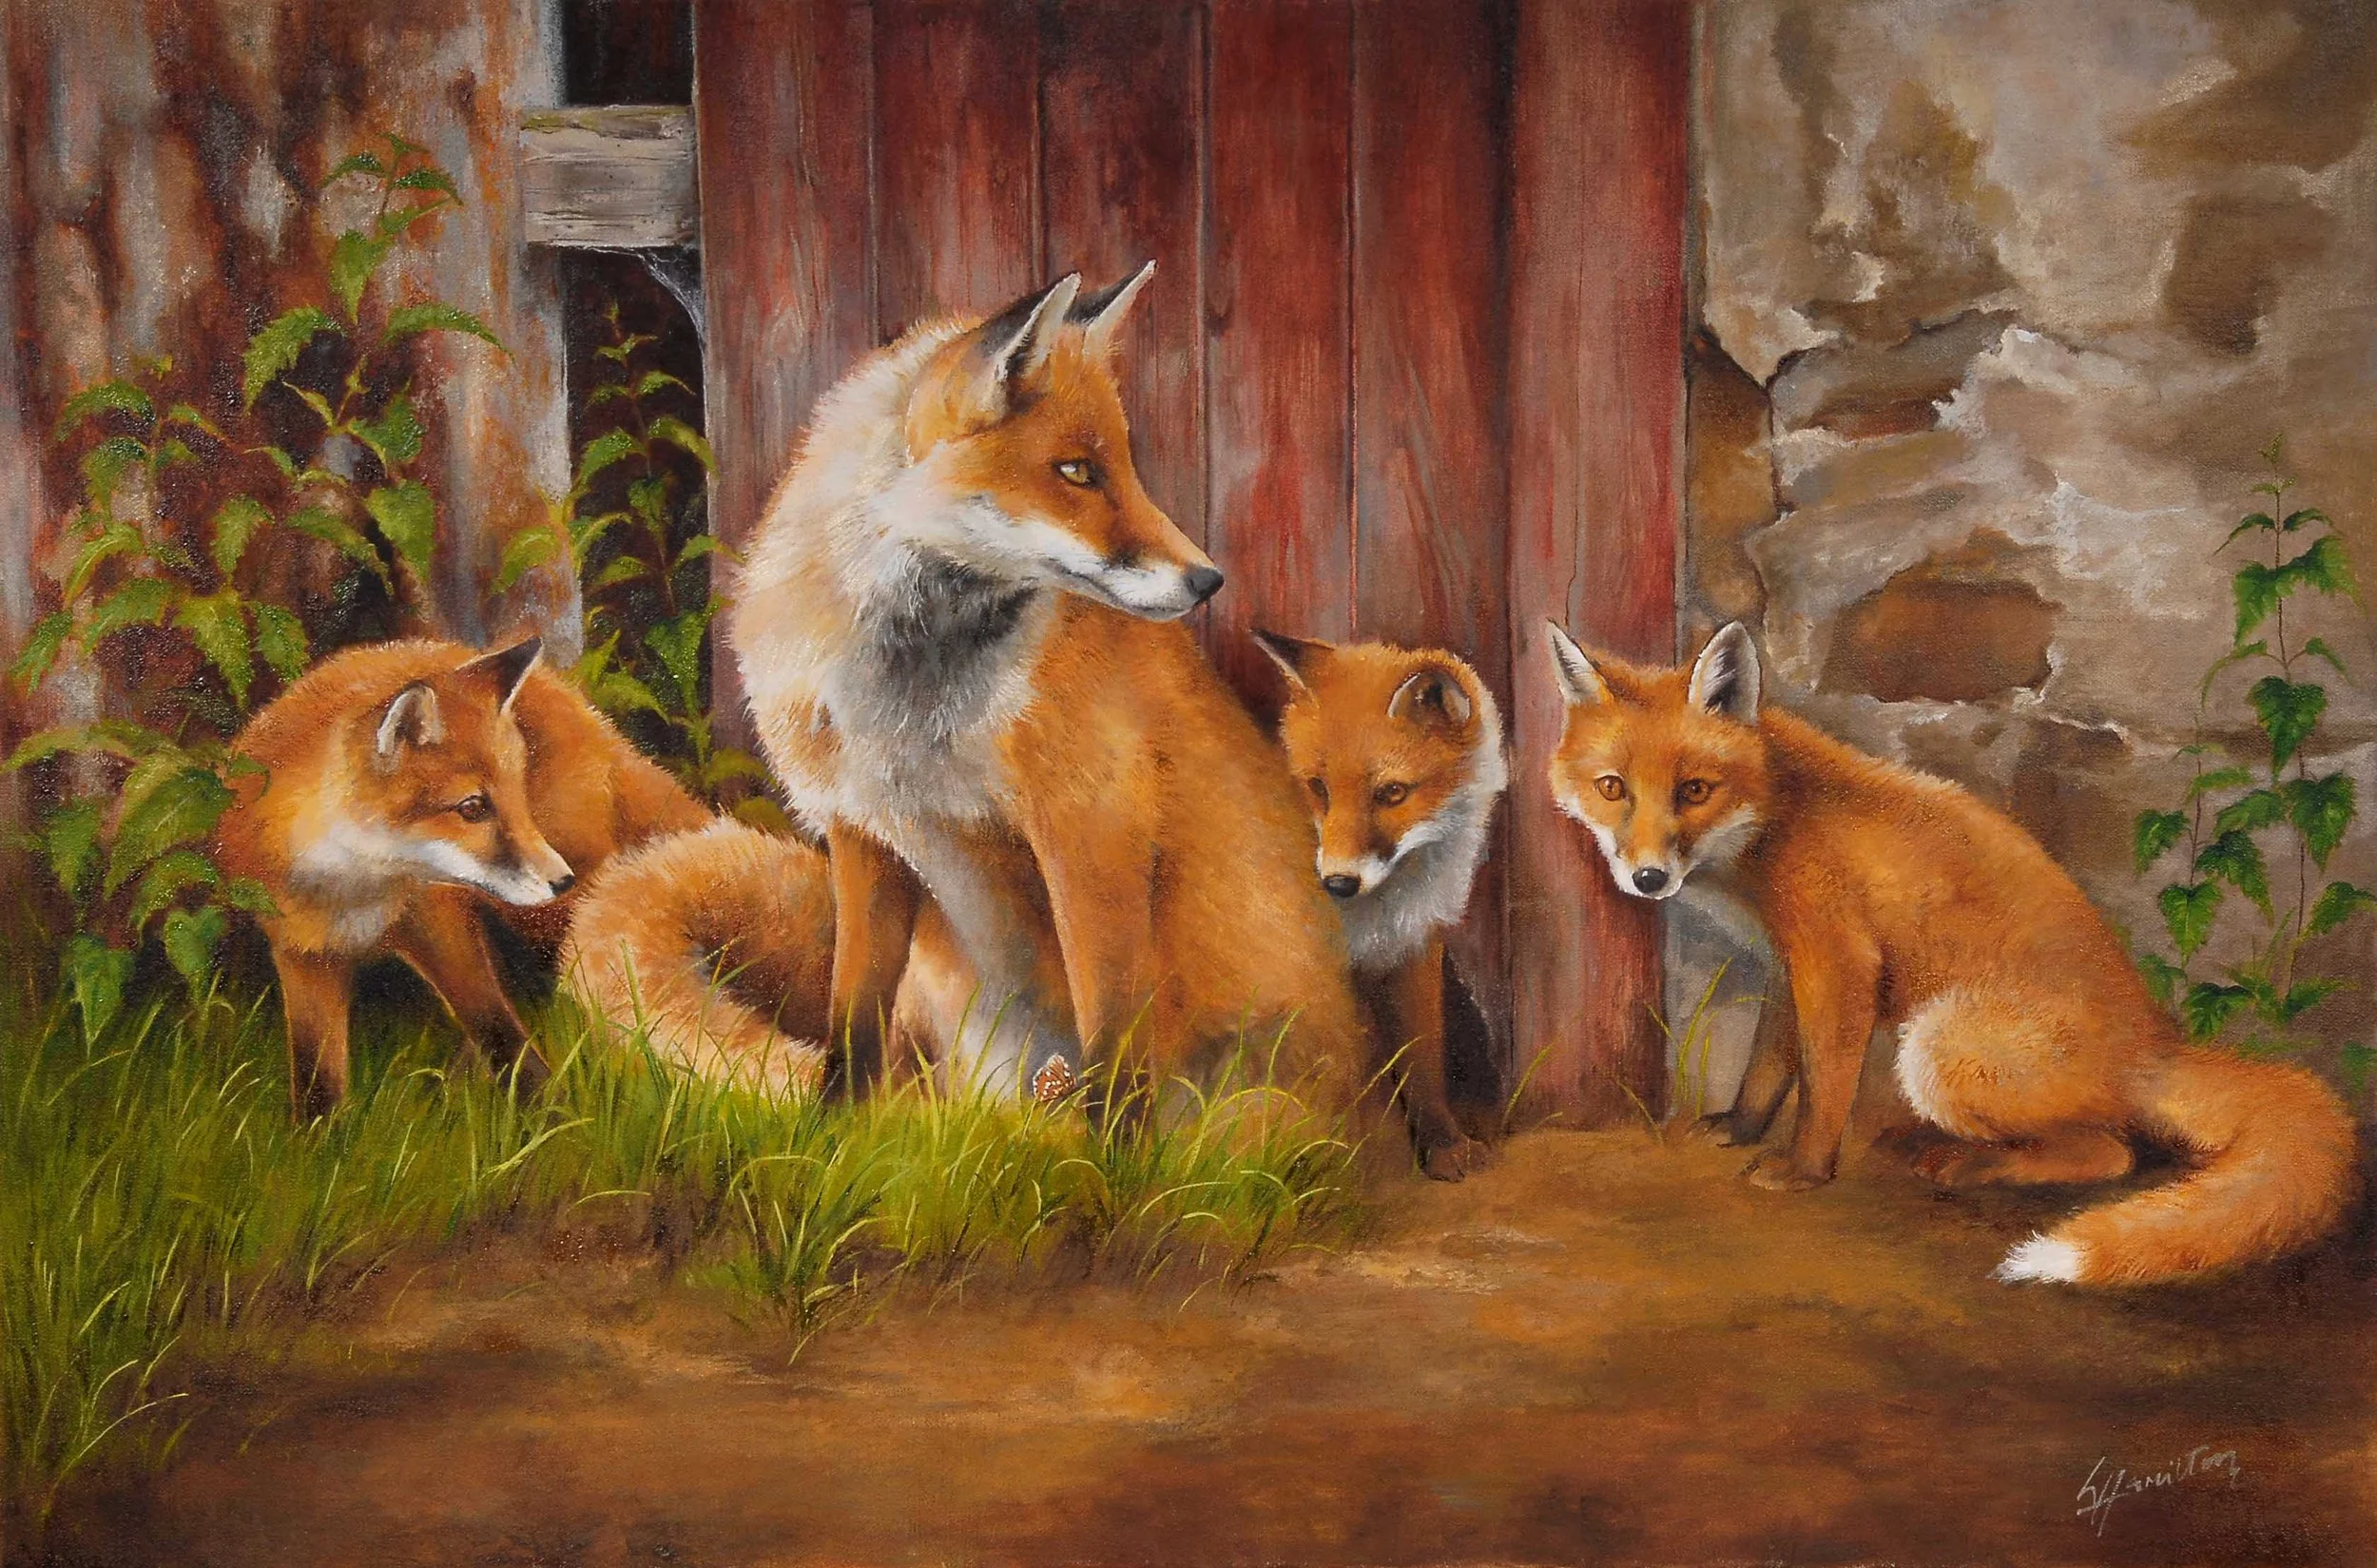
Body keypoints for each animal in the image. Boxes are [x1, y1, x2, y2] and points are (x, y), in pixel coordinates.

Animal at [214, 635, 711, 1118]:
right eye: (472, 808)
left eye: (517, 796)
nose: (562, 880)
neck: (353, 894)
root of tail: (581, 706)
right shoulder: (303, 953)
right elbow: (317, 1079)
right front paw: (321, 1137)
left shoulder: (439, 926)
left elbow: (499, 1030)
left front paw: (553, 1117)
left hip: (543, 917)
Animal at [727, 263, 1367, 1112]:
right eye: (1075, 471)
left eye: (1124, 465)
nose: (1208, 580)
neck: (916, 711)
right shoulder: (865, 832)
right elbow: (851, 1023)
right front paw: (830, 1131)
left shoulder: (1092, 826)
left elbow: (1113, 1038)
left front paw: (1114, 1149)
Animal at [1253, 631, 1506, 1179]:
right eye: (1319, 788)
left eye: (1391, 792)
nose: (1338, 883)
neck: (1383, 913)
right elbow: (1344, 1058)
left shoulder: (1414, 950)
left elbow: (1424, 1060)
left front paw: (1442, 1144)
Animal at [1540, 619, 2358, 1286]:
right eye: (1613, 787)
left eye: (1694, 789)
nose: (1648, 878)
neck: (1777, 817)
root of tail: (2157, 1042)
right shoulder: (1788, 961)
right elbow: (1772, 1064)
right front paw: (1739, 1126)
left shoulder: (1838, 961)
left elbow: (1824, 1084)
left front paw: (1803, 1170)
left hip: (1937, 1047)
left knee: (2112, 1153)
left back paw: (1972, 1161)